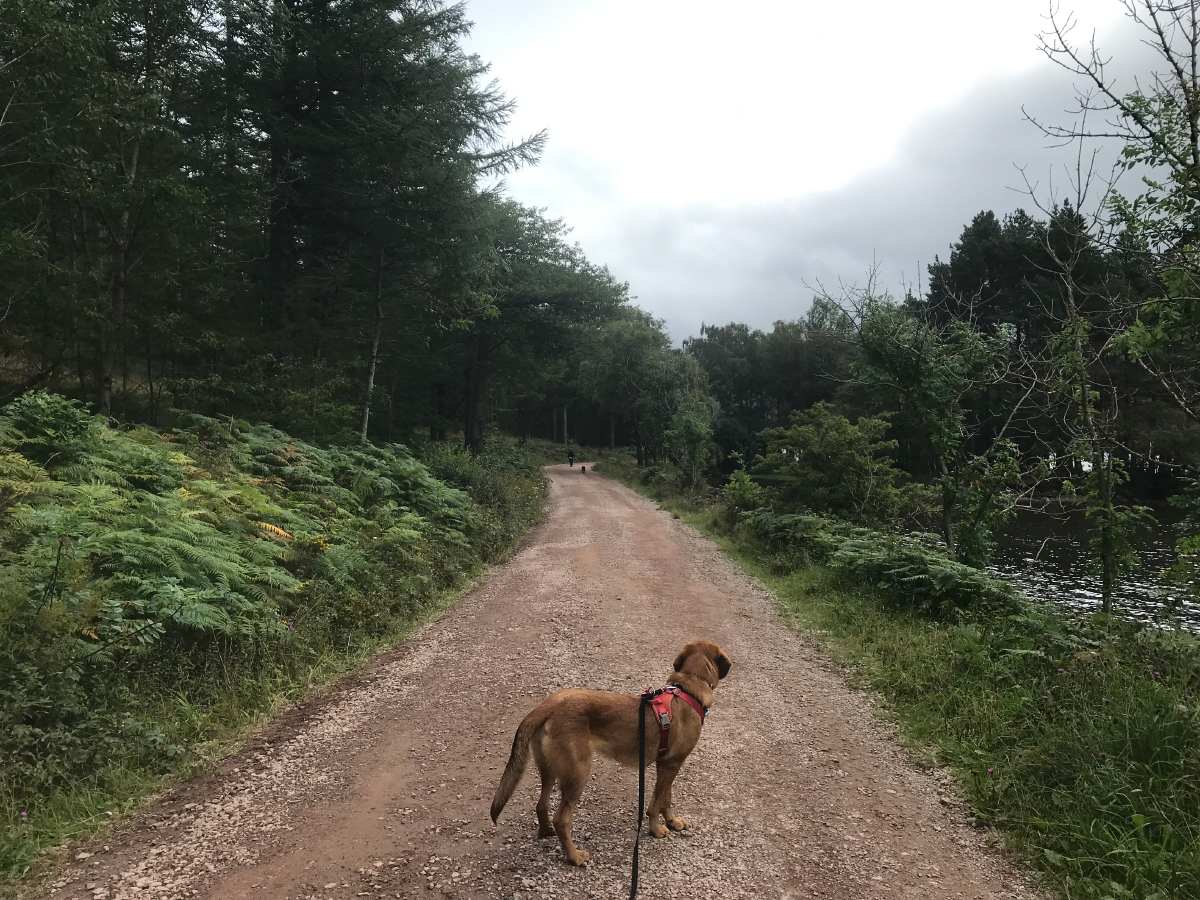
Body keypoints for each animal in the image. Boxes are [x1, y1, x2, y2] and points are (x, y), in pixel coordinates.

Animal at [489, 643, 729, 868]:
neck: (689, 685)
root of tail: (546, 706)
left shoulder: (668, 764)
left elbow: (665, 799)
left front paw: (673, 821)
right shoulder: (671, 764)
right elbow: (655, 804)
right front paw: (656, 830)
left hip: (550, 769)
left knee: (541, 805)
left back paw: (546, 832)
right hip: (578, 774)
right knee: (562, 820)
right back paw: (574, 856)